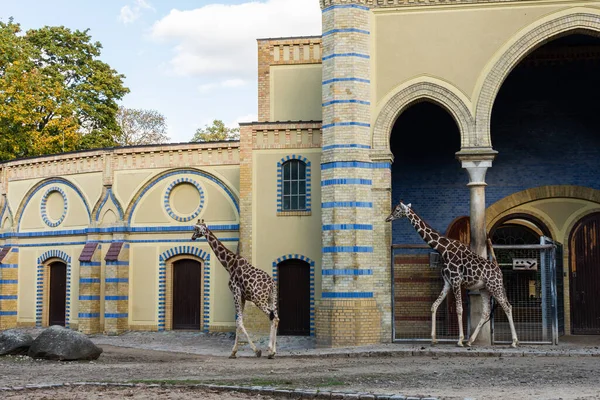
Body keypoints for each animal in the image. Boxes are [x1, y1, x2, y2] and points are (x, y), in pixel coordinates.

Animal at [191, 220, 280, 358]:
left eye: (196, 229)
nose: (192, 237)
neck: (229, 264)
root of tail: (272, 285)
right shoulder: (242, 296)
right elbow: (239, 321)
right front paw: (233, 352)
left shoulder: (235, 292)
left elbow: (239, 322)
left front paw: (256, 351)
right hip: (271, 299)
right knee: (276, 317)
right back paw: (273, 351)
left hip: (259, 300)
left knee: (273, 317)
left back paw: (270, 350)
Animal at [386, 202, 516, 348]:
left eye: (397, 210)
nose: (388, 218)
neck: (443, 249)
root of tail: (498, 268)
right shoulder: (447, 282)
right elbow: (434, 305)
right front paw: (433, 339)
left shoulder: (455, 280)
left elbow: (459, 309)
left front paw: (459, 340)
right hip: (485, 289)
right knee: (486, 311)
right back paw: (470, 341)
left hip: (495, 287)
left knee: (507, 307)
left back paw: (514, 342)